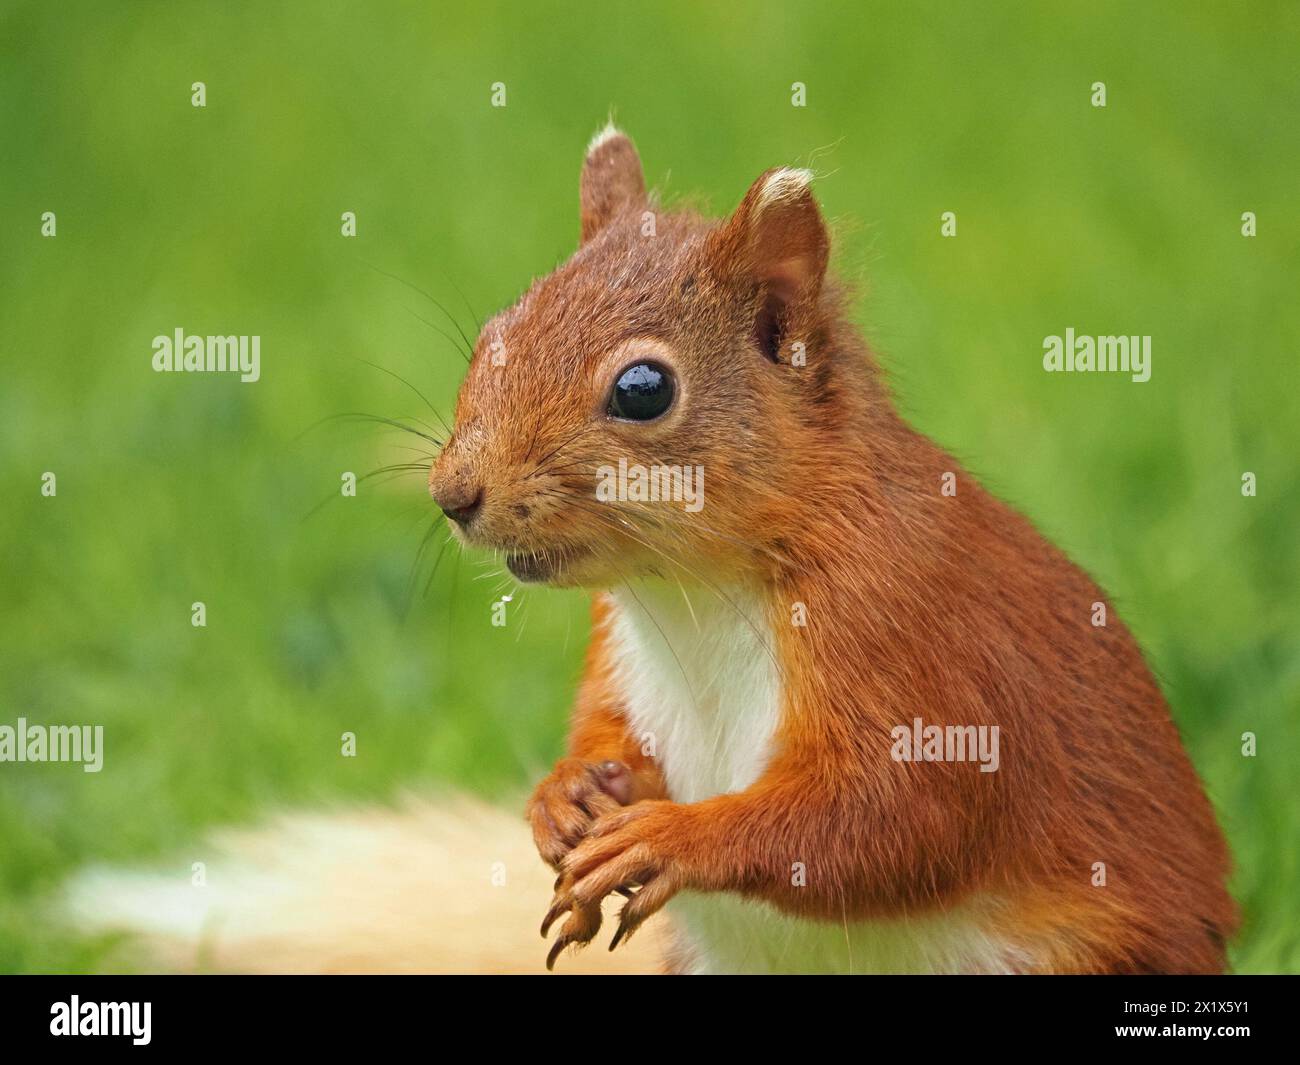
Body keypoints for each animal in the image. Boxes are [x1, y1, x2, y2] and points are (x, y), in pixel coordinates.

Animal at [427, 125, 1236, 975]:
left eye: (643, 389)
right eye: (493, 334)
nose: (453, 494)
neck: (695, 590)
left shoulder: (904, 633)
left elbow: (896, 814)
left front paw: (671, 837)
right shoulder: (616, 646)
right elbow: (611, 732)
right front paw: (563, 794)